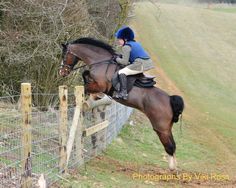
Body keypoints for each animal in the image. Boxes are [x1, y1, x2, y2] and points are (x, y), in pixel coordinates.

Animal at [59, 37, 184, 170]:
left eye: (64, 55)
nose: (61, 72)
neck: (101, 62)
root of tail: (170, 99)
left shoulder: (101, 85)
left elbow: (86, 81)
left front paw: (91, 96)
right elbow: (86, 75)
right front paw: (95, 96)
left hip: (160, 127)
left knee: (170, 146)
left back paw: (172, 169)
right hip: (166, 127)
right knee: (172, 145)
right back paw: (173, 167)